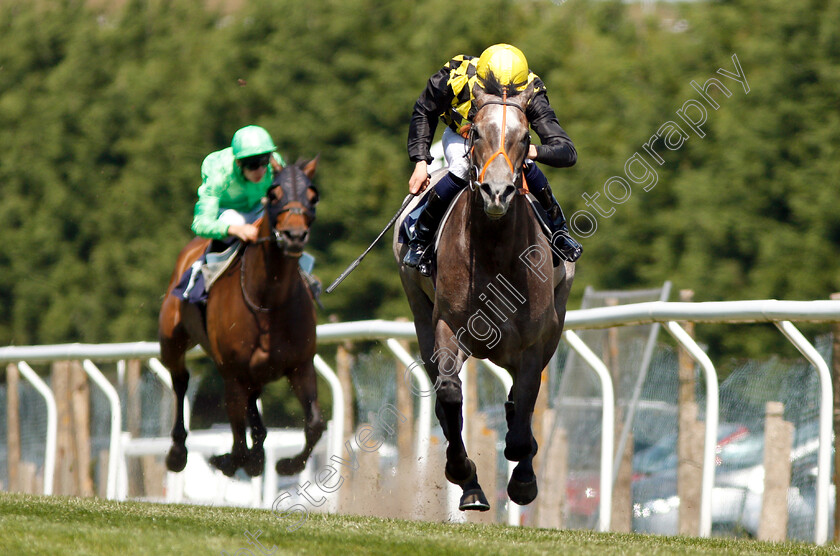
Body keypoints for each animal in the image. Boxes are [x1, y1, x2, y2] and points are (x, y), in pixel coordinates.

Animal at [158, 157, 324, 478]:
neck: (268, 300)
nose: (294, 236)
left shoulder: (301, 366)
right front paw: (226, 460)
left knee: (254, 407)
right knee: (181, 380)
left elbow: (314, 424)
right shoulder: (232, 373)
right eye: (274, 194)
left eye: (312, 196)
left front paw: (287, 465)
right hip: (171, 339)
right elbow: (236, 440)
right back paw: (177, 452)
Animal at [398, 83, 576, 512]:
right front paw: (464, 476)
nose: (497, 192)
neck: (496, 253)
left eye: (526, 137)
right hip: (419, 310)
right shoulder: (447, 326)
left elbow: (525, 400)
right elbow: (449, 394)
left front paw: (523, 476)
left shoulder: (534, 341)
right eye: (476, 132)